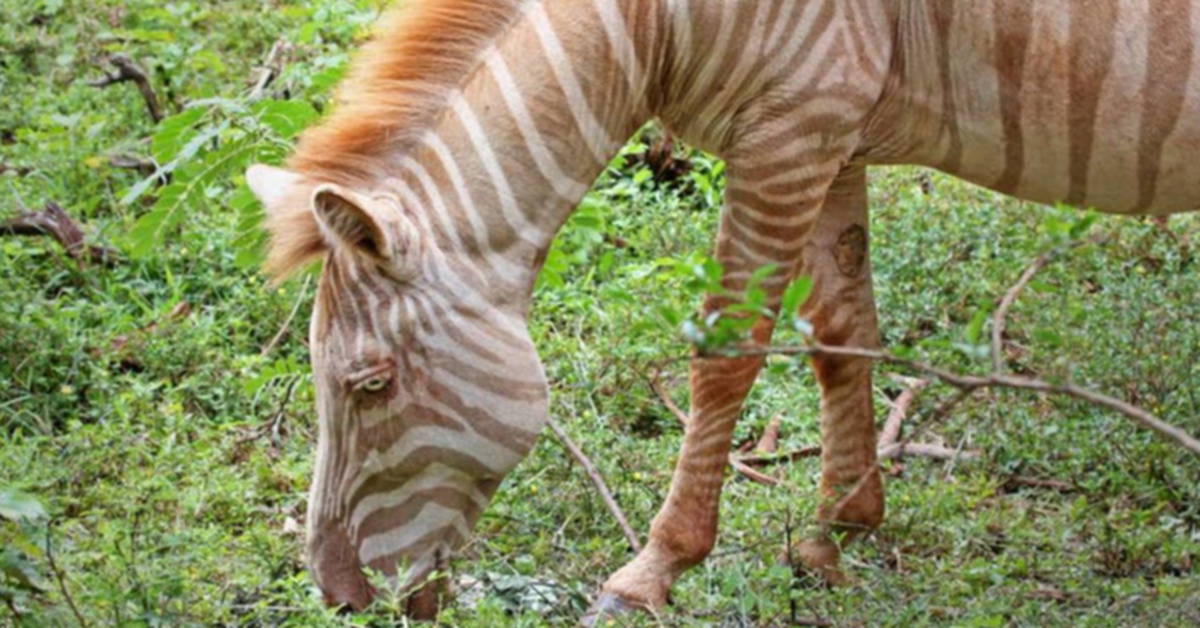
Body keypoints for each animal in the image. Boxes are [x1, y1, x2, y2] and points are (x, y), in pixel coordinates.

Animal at [243, 0, 1200, 619]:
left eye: (369, 384)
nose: (340, 600)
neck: (656, 23)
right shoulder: (833, 136)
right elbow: (842, 333)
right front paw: (835, 532)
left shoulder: (790, 131)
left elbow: (727, 355)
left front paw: (653, 572)